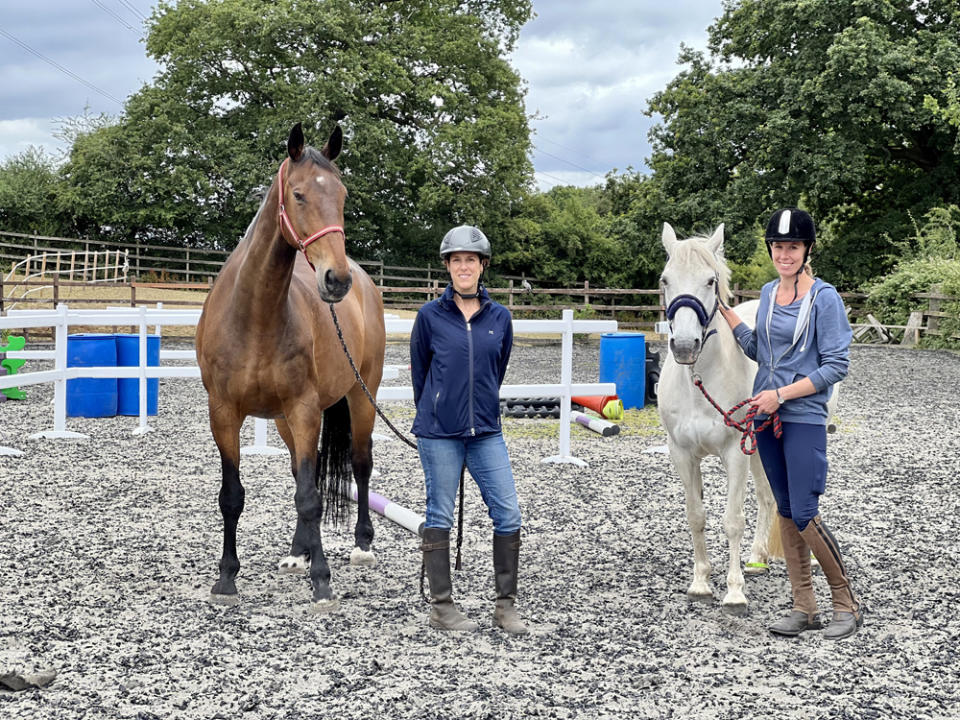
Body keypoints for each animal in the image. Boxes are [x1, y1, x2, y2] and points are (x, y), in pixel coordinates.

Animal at [196, 124, 386, 612]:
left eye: (341, 195)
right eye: (298, 195)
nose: (336, 280)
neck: (255, 316)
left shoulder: (305, 410)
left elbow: (311, 497)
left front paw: (322, 581)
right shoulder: (224, 413)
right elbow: (233, 496)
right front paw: (226, 578)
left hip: (361, 397)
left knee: (360, 464)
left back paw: (361, 544)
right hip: (284, 421)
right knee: (306, 472)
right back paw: (298, 552)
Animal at [656, 224, 776, 612]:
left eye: (710, 280)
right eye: (665, 279)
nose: (684, 345)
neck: (700, 381)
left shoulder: (735, 452)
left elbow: (732, 520)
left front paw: (734, 590)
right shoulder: (681, 454)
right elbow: (696, 516)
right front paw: (701, 582)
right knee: (769, 497)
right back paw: (757, 558)